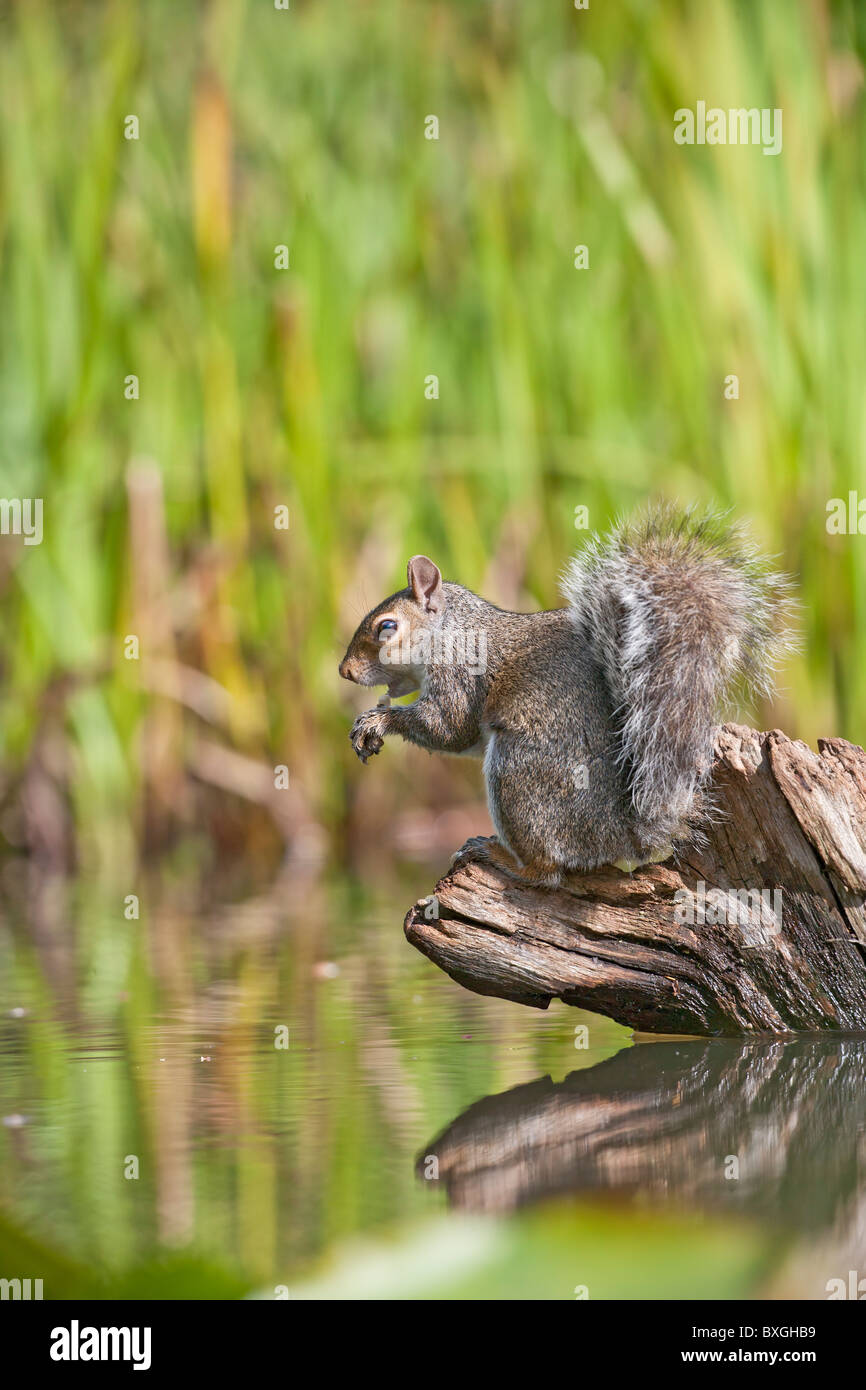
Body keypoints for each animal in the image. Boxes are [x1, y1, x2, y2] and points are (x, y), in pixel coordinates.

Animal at [337, 505, 795, 884]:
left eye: (387, 627)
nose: (344, 671)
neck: (452, 631)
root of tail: (625, 836)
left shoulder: (461, 675)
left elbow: (448, 728)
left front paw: (378, 721)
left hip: (518, 775)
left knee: (549, 871)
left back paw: (500, 857)